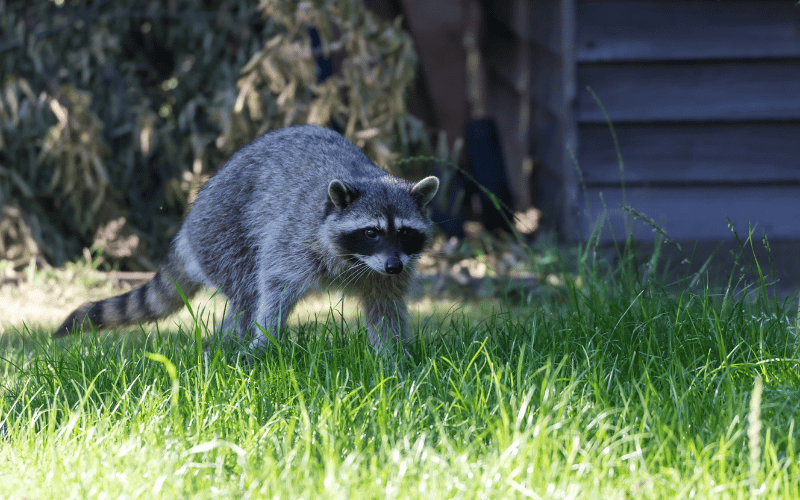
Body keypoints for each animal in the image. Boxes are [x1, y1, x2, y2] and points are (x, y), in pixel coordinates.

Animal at [53, 126, 440, 360]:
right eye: (371, 232)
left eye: (405, 232)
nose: (393, 266)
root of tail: (189, 225)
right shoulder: (294, 239)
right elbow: (274, 289)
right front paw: (264, 340)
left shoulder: (387, 271)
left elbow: (385, 307)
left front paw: (392, 357)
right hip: (223, 233)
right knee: (247, 293)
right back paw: (228, 346)